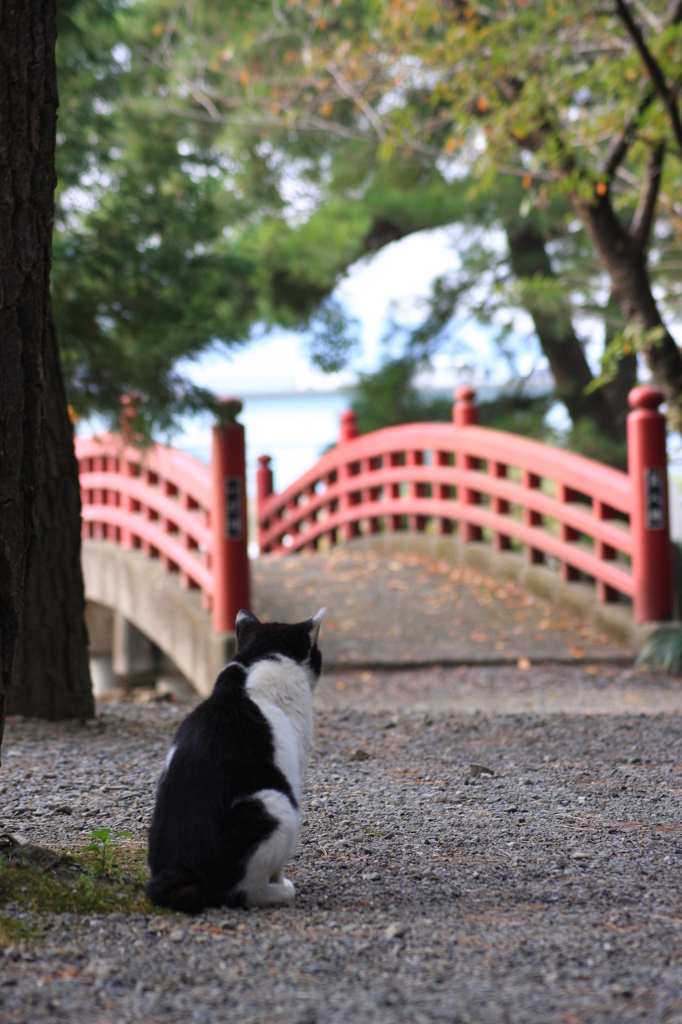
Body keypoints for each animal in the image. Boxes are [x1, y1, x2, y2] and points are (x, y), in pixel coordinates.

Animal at [145, 606, 323, 913]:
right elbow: (277, 867)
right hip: (275, 804)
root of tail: (181, 869)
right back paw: (281, 891)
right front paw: (281, 880)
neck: (260, 658)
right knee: (243, 892)